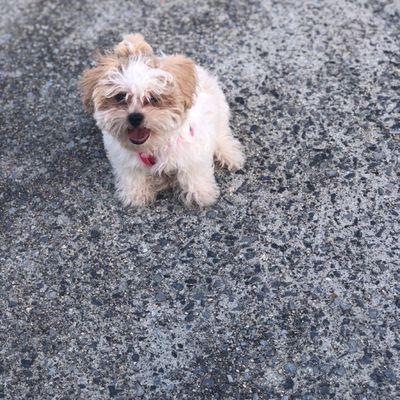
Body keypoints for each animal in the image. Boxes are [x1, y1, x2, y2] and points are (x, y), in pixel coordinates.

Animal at [80, 33, 245, 206]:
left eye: (153, 98)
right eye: (120, 97)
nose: (135, 117)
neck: (152, 147)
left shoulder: (192, 150)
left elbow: (194, 171)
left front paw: (201, 193)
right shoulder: (124, 159)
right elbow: (132, 175)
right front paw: (136, 194)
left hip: (219, 108)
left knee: (221, 133)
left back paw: (229, 154)